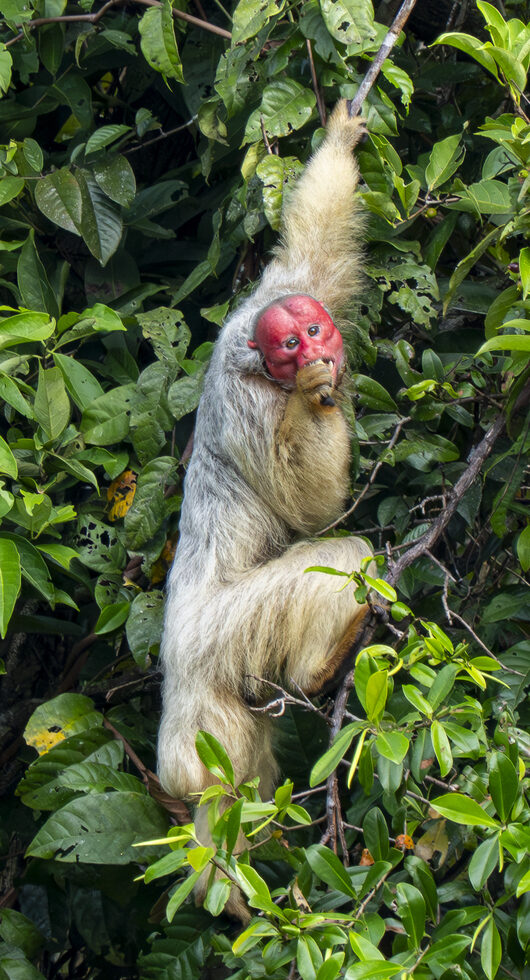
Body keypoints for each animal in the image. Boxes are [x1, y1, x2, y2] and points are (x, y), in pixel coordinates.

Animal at [157, 100, 372, 917]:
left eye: (313, 326)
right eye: (289, 348)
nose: (315, 353)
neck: (260, 364)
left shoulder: (270, 292)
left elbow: (310, 245)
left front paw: (341, 138)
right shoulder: (255, 406)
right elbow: (313, 511)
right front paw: (316, 402)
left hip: (214, 709)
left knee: (243, 773)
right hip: (215, 642)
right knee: (343, 559)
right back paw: (317, 667)